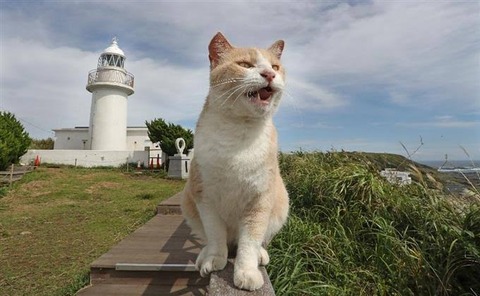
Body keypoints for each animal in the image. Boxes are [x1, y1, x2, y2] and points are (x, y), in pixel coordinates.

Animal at [182, 32, 288, 292]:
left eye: (275, 67)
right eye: (245, 65)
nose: (269, 74)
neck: (238, 134)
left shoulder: (259, 201)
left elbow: (249, 241)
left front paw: (247, 272)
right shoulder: (204, 197)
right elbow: (215, 234)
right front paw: (214, 258)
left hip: (282, 203)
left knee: (259, 241)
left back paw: (260, 255)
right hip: (188, 203)